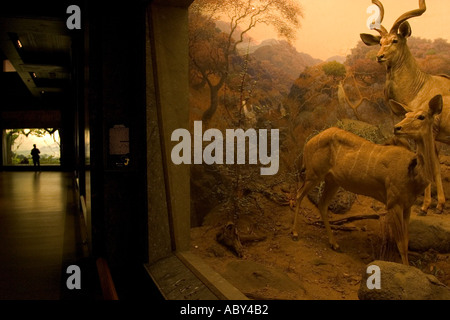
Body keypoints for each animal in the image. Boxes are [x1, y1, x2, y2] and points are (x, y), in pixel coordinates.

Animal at [292, 94, 442, 264]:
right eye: (405, 115)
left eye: (421, 116)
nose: (397, 128)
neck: (413, 175)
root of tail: (307, 143)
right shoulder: (393, 202)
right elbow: (401, 245)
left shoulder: (407, 205)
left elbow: (406, 240)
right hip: (314, 173)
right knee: (299, 194)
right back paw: (295, 234)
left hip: (332, 180)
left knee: (322, 204)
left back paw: (335, 244)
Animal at [360, 0, 450, 215]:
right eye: (380, 42)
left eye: (395, 40)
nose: (380, 56)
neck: (418, 87)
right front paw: (433, 203)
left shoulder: (430, 132)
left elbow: (432, 164)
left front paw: (431, 205)